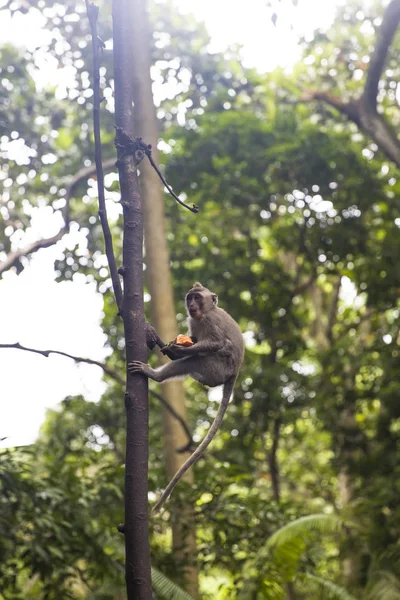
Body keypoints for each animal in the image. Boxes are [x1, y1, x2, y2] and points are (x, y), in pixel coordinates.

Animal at [127, 282, 244, 510]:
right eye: (191, 297)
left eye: (197, 297)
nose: (191, 304)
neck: (204, 314)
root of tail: (233, 374)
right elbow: (195, 339)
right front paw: (168, 344)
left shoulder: (211, 321)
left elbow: (217, 343)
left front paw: (178, 348)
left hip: (215, 368)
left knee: (194, 360)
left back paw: (155, 373)